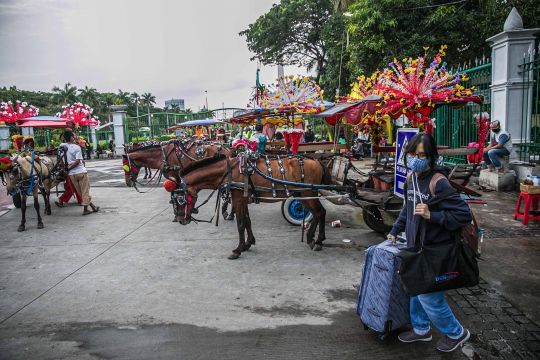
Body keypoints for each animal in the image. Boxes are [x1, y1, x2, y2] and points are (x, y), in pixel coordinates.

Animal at [167, 153, 332, 260]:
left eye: (179, 198)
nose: (180, 220)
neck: (228, 171)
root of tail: (317, 161)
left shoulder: (238, 199)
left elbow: (240, 224)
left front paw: (238, 249)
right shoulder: (243, 200)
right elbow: (247, 221)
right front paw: (248, 243)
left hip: (308, 192)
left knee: (320, 212)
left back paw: (318, 241)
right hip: (301, 194)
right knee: (315, 214)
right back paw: (311, 238)